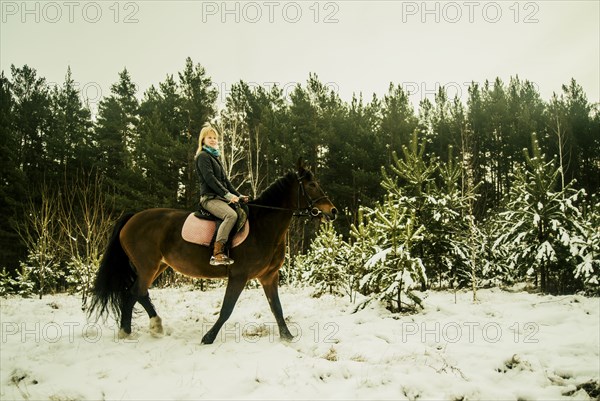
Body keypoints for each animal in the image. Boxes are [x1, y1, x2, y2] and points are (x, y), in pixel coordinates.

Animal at [88, 160, 338, 344]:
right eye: (312, 185)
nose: (333, 211)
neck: (263, 226)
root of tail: (133, 218)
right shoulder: (239, 276)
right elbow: (227, 309)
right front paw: (208, 337)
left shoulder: (269, 276)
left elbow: (276, 307)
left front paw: (287, 336)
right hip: (148, 266)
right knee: (136, 293)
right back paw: (143, 327)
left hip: (157, 266)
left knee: (134, 294)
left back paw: (135, 329)